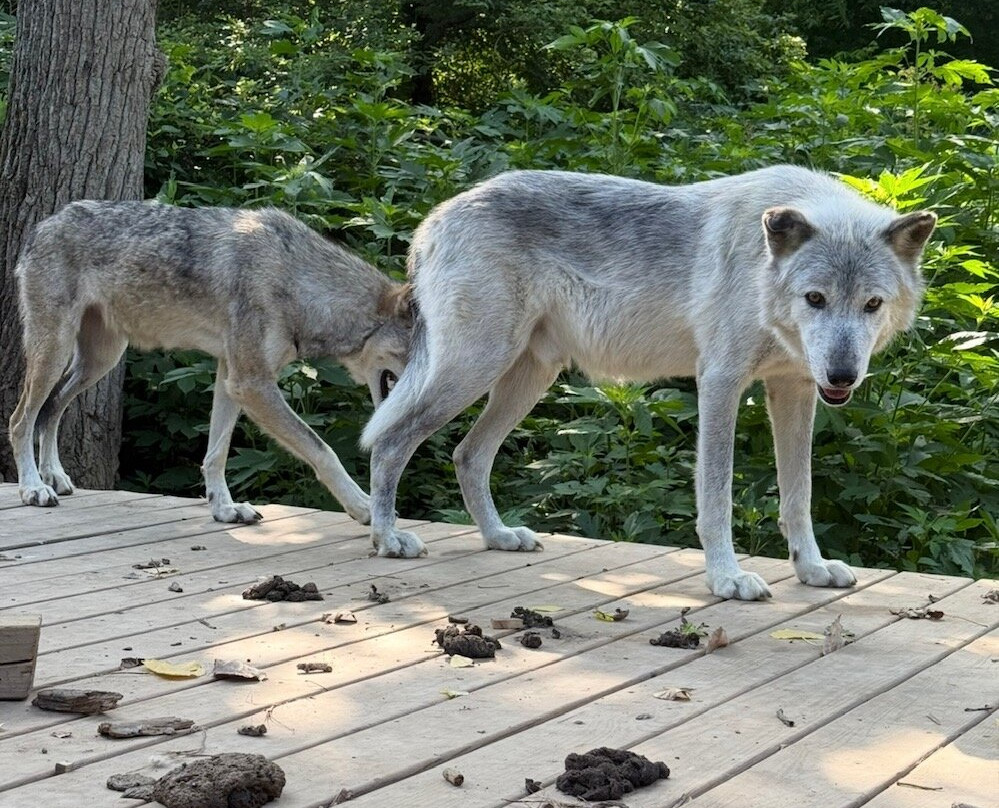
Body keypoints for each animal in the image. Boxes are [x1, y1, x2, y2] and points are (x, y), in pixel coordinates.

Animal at [9, 201, 412, 525]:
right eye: (421, 355)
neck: (299, 281)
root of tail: (45, 223)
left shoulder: (230, 378)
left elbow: (216, 453)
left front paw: (225, 509)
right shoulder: (252, 384)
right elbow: (322, 450)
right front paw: (364, 507)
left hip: (98, 362)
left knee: (52, 410)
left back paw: (54, 477)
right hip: (54, 354)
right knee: (20, 420)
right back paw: (33, 488)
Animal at [360, 165, 936, 600]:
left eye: (872, 304)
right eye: (815, 299)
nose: (842, 375)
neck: (760, 268)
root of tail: (436, 216)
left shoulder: (795, 390)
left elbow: (799, 497)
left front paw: (811, 570)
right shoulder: (720, 384)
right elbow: (717, 497)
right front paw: (726, 579)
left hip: (526, 381)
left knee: (468, 455)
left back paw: (499, 536)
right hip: (474, 367)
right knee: (389, 443)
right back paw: (388, 538)